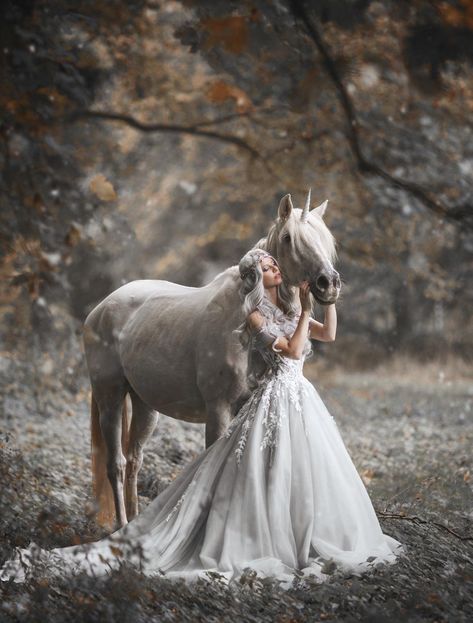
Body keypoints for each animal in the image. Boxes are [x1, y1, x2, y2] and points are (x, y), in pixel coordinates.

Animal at [82, 193, 340, 528]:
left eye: (325, 239)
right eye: (288, 238)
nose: (327, 283)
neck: (247, 310)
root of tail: (100, 309)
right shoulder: (218, 411)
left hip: (144, 405)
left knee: (135, 459)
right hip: (109, 397)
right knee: (117, 463)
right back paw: (122, 528)